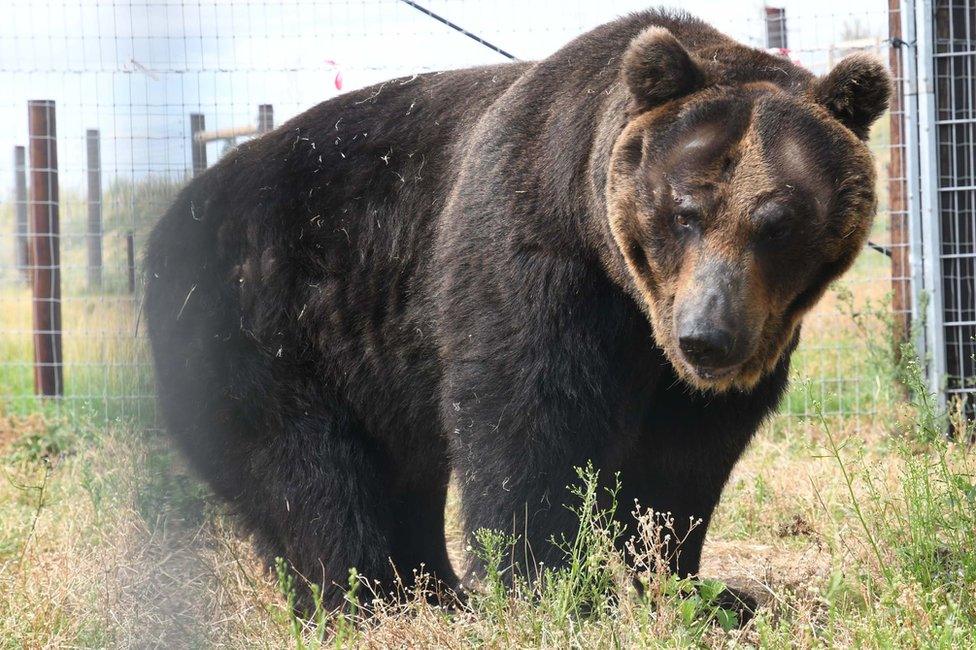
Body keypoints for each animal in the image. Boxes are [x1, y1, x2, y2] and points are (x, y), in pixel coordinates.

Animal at [147, 7, 892, 612]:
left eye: (778, 222)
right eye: (686, 212)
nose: (707, 338)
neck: (627, 287)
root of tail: (172, 219)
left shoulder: (715, 347)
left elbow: (682, 461)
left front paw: (694, 585)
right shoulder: (537, 258)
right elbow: (529, 417)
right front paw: (553, 586)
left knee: (402, 468)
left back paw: (432, 590)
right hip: (264, 321)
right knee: (308, 472)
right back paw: (366, 597)